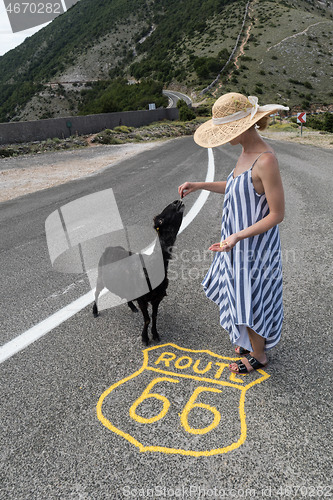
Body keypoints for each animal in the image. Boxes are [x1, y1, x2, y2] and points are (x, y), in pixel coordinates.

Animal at [92, 199, 183, 344]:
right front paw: (145, 338)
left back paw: (132, 307)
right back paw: (95, 311)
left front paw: (155, 335)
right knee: (96, 292)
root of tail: (108, 248)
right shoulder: (142, 298)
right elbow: (147, 319)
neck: (153, 264)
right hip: (101, 276)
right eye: (160, 220)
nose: (177, 201)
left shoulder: (157, 298)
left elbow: (154, 316)